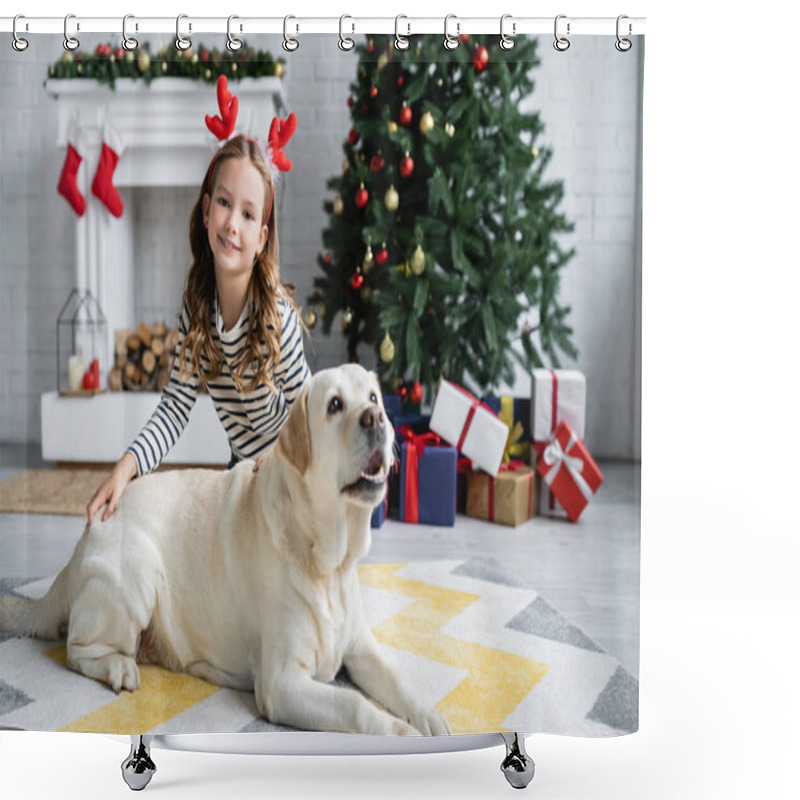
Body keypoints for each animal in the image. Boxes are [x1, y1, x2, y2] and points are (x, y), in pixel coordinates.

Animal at [0, 366, 450, 736]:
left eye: (373, 398)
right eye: (335, 405)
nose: (377, 418)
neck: (326, 560)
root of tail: (84, 538)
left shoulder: (360, 647)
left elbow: (399, 679)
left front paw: (430, 718)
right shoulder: (281, 684)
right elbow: (354, 704)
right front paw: (402, 733)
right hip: (138, 570)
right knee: (76, 649)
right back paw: (119, 668)